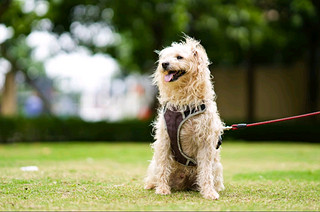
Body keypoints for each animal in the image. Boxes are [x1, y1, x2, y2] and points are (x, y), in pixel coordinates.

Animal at [145, 35, 225, 200]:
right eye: (164, 57)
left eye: (179, 57)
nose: (164, 64)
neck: (184, 102)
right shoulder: (165, 140)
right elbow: (163, 166)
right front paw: (162, 189)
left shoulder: (205, 142)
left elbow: (206, 171)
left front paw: (209, 192)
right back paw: (151, 185)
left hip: (216, 166)